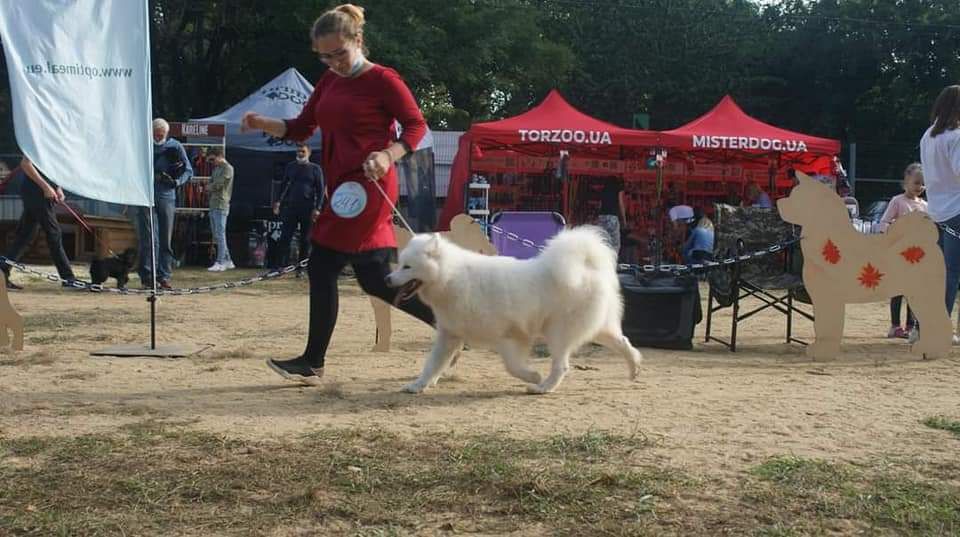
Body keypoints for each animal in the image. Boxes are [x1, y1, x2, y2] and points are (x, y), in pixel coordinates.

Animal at [384, 226, 644, 394]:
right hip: (597, 329)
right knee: (624, 342)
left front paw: (532, 375)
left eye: (407, 267)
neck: (451, 277)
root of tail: (587, 266)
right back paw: (634, 370)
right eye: (400, 264)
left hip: (558, 332)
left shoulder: (509, 336)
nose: (387, 279)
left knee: (562, 365)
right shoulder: (450, 335)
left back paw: (542, 387)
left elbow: (512, 366)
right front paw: (418, 385)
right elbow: (432, 364)